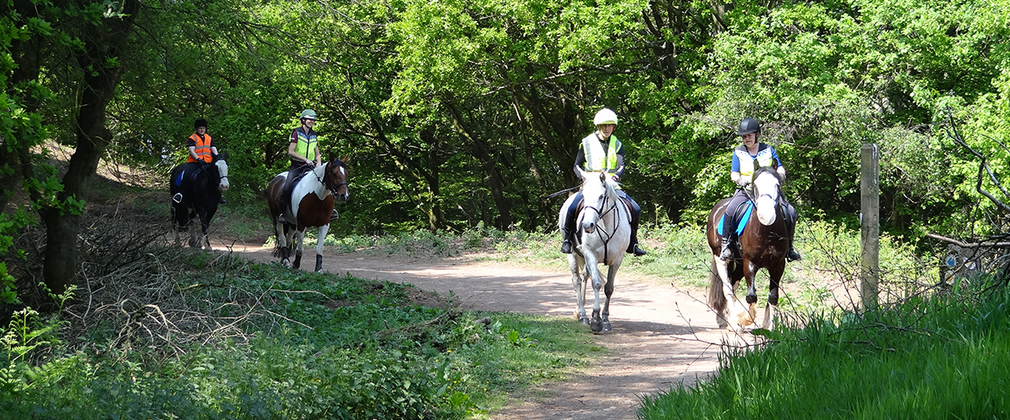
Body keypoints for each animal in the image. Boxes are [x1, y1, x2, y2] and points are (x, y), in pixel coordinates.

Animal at [558, 171, 632, 333]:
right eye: (584, 196)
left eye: (601, 196)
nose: (587, 225)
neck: (606, 225)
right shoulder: (590, 255)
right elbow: (597, 283)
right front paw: (596, 320)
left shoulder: (617, 259)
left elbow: (609, 288)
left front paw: (605, 319)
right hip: (572, 255)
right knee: (576, 281)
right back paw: (583, 315)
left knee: (584, 277)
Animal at [706, 166, 789, 332]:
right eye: (755, 185)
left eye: (777, 184)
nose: (766, 215)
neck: (766, 231)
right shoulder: (750, 263)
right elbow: (751, 296)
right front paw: (745, 319)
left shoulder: (778, 265)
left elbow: (773, 296)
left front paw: (768, 326)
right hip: (721, 259)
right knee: (727, 289)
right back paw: (732, 323)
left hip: (738, 263)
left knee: (733, 284)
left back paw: (726, 319)